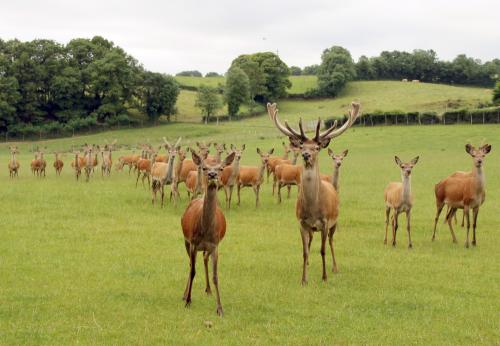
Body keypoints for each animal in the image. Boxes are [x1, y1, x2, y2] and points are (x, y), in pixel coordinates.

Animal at [181, 149, 235, 316]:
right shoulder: (193, 242)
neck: (205, 231)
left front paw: (220, 308)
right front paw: (188, 300)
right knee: (190, 264)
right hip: (186, 241)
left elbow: (215, 276)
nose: (212, 175)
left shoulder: (214, 245)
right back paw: (184, 294)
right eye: (204, 168)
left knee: (204, 259)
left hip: (207, 248)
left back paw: (208, 289)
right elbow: (193, 270)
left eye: (221, 168)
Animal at [268, 100, 362, 284]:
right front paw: (303, 279)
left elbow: (323, 250)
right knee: (311, 242)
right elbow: (304, 251)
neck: (313, 208)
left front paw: (324, 277)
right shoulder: (301, 222)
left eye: (317, 147)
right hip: (312, 229)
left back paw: (335, 267)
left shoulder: (325, 222)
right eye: (302, 145)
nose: (306, 154)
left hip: (335, 222)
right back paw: (308, 265)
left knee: (331, 242)